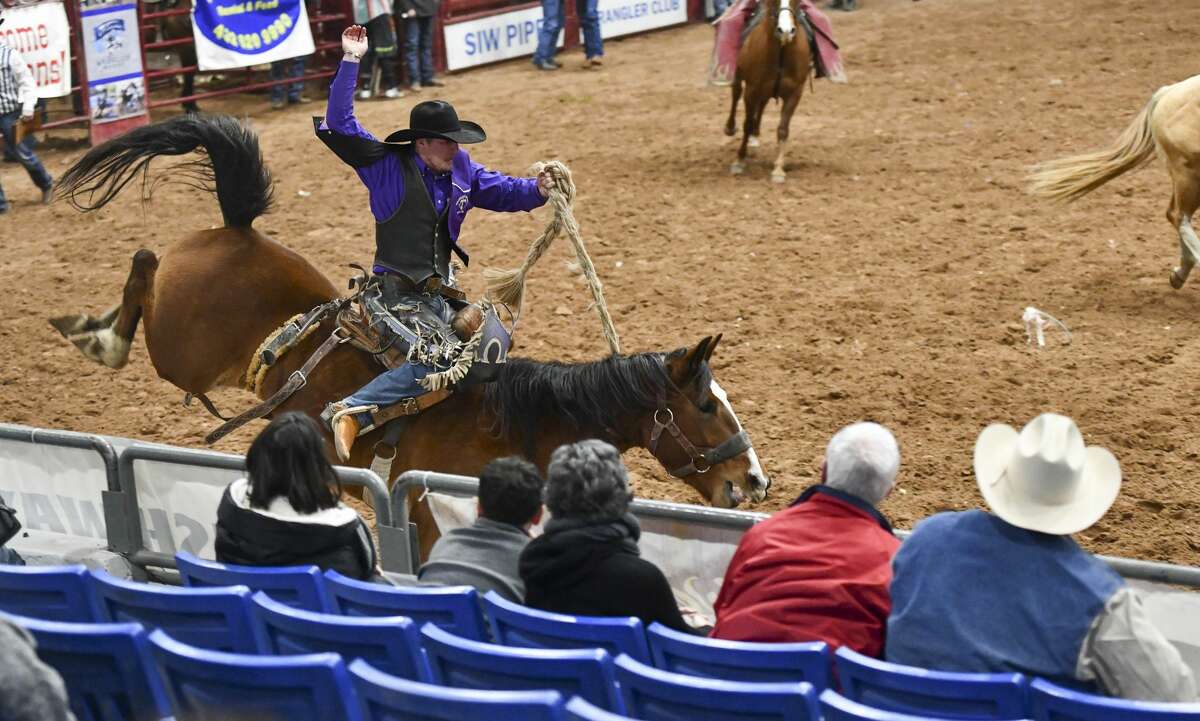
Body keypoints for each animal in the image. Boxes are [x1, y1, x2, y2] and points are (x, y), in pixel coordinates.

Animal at [51, 113, 768, 556]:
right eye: (707, 405)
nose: (755, 480)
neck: (519, 424)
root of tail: (237, 230)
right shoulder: (426, 515)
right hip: (180, 350)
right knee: (144, 266)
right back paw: (94, 336)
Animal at [720, 0, 816, 182]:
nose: (785, 31)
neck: (781, 53)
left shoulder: (794, 93)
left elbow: (783, 129)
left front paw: (778, 169)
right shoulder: (751, 90)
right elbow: (746, 124)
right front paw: (739, 160)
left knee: (762, 105)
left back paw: (755, 135)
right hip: (740, 77)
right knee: (735, 95)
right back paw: (730, 127)